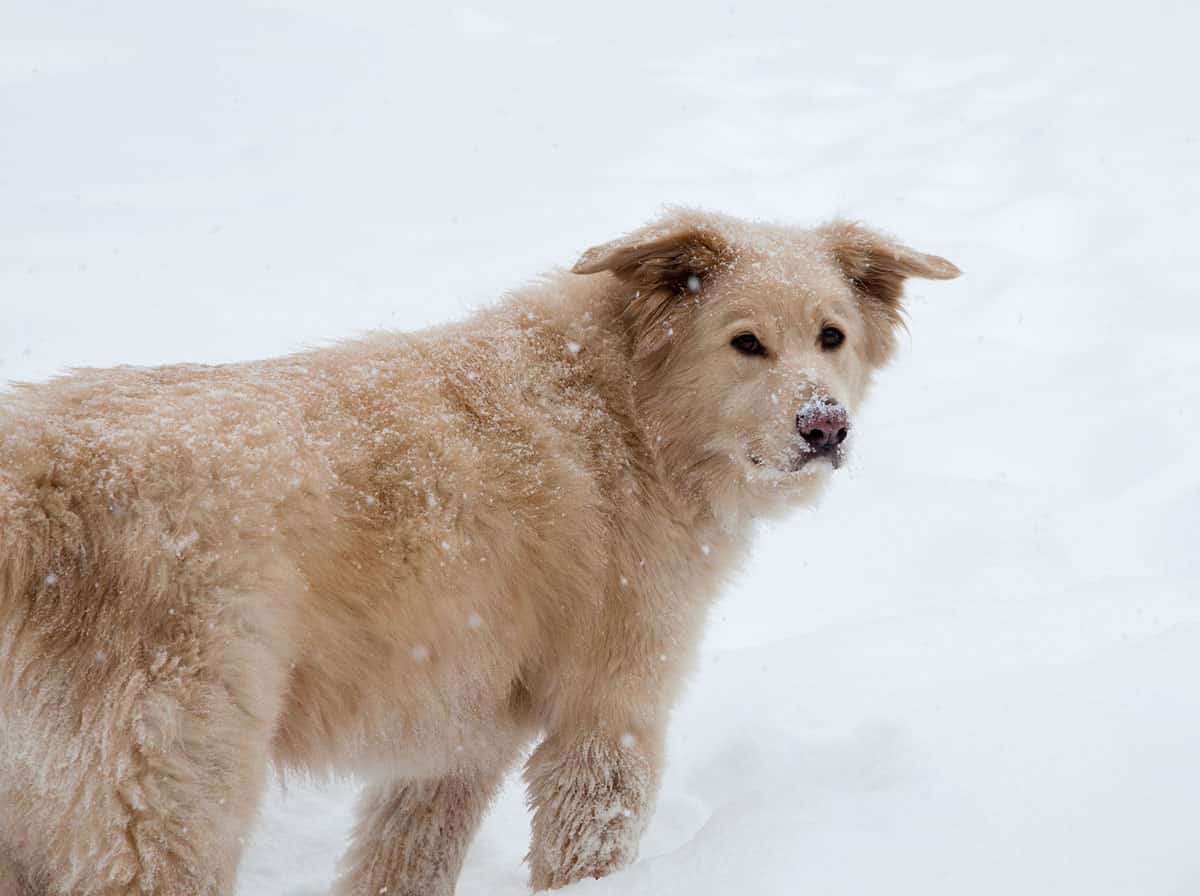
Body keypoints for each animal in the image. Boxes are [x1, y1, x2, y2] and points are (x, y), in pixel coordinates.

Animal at [0, 206, 955, 892]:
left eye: (832, 336)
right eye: (745, 342)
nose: (825, 427)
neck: (624, 411)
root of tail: (33, 488)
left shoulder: (456, 737)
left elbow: (406, 861)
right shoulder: (608, 713)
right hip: (164, 800)